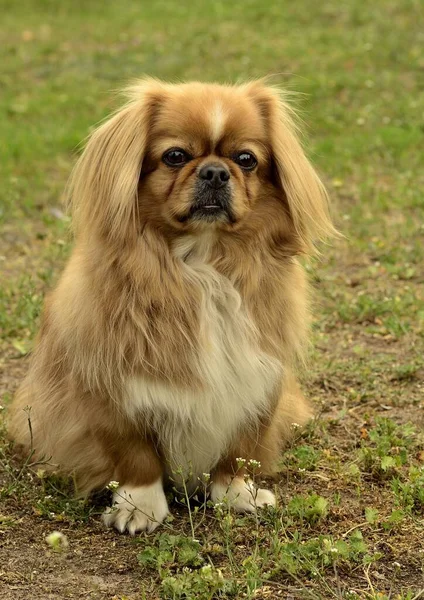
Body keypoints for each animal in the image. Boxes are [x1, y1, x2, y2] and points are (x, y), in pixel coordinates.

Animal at [7, 77, 334, 532]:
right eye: (175, 156)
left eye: (246, 159)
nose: (215, 171)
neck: (203, 264)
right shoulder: (112, 384)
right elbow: (135, 453)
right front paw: (140, 507)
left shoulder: (257, 376)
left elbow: (239, 448)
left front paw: (236, 493)